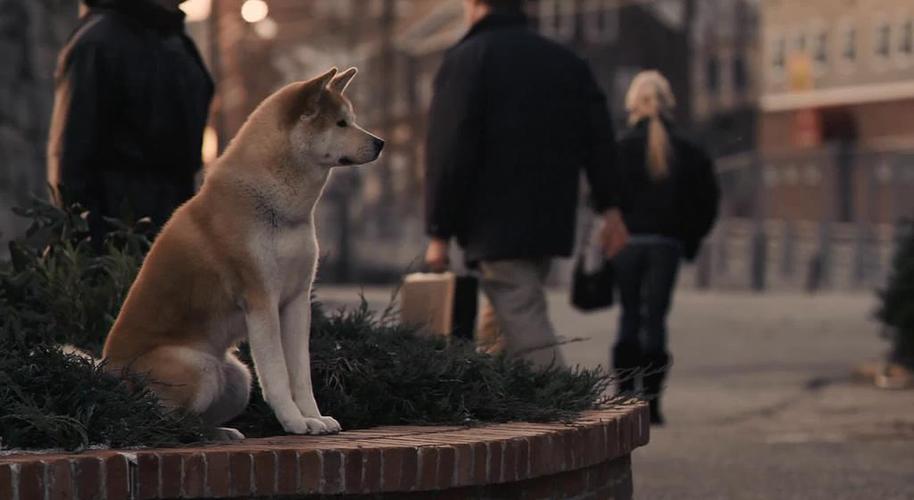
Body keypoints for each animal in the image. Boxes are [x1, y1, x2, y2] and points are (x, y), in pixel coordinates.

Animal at [102, 67, 382, 438]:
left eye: (352, 120)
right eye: (340, 123)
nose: (381, 143)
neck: (277, 207)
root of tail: (107, 373)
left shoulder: (296, 301)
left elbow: (301, 374)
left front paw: (315, 418)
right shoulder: (261, 301)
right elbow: (277, 375)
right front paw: (294, 423)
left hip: (238, 378)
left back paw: (221, 434)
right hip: (199, 367)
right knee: (164, 422)